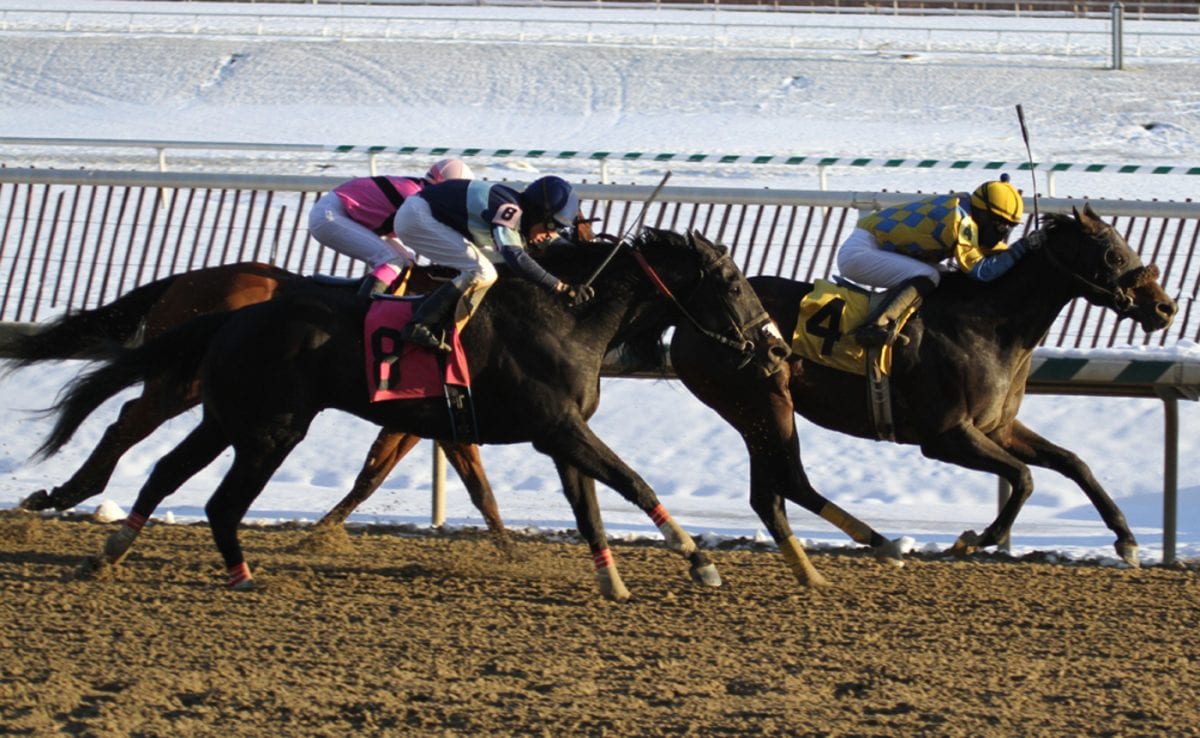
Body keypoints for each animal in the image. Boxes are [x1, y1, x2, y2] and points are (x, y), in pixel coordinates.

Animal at [4, 260, 511, 549]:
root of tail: (188, 278)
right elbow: (388, 474)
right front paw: (318, 534)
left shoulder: (429, 413)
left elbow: (404, 473)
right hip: (183, 380)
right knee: (128, 423)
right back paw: (67, 493)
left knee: (131, 420)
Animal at [672, 205, 1176, 573]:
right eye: (1113, 255)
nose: (1164, 308)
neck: (988, 325)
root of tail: (683, 320)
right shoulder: (946, 436)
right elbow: (1024, 478)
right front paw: (976, 539)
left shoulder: (998, 428)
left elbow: (1074, 463)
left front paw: (1127, 540)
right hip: (763, 403)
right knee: (787, 481)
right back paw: (882, 543)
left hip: (754, 410)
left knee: (771, 491)